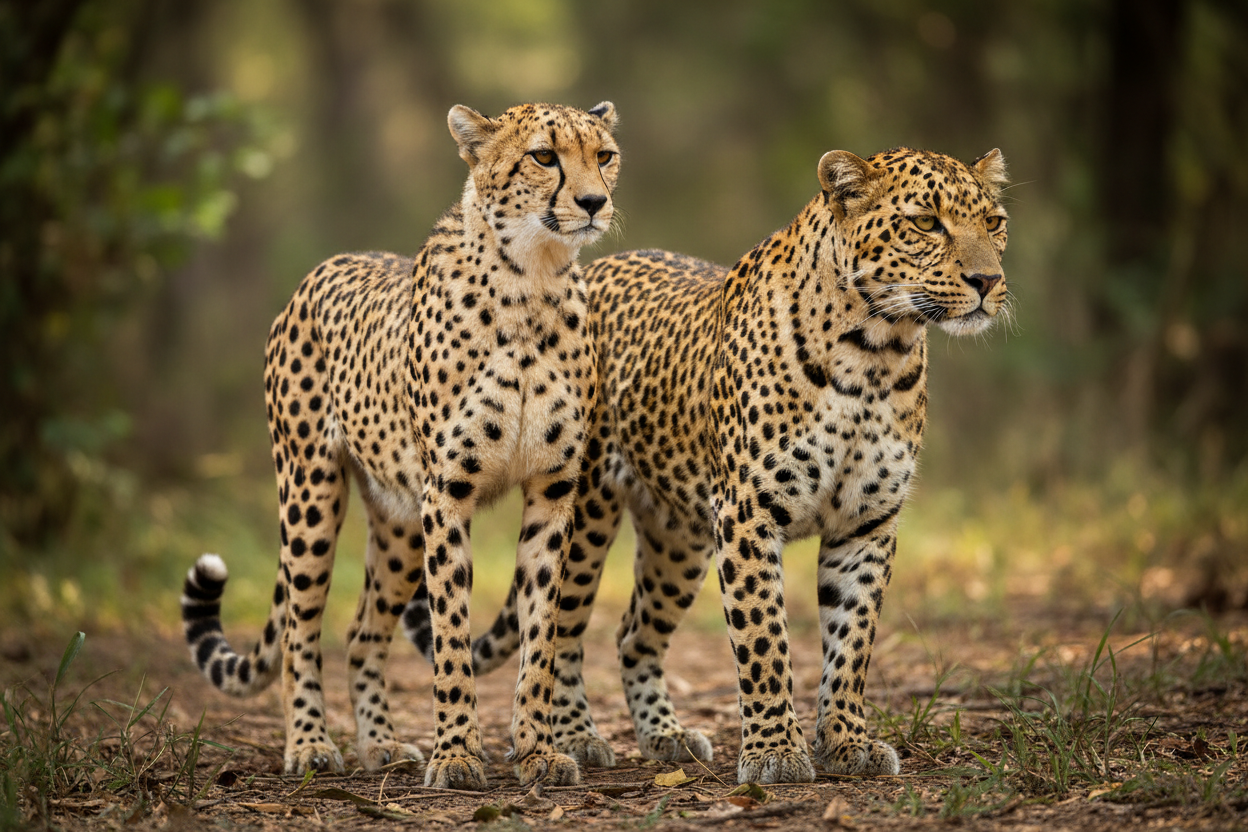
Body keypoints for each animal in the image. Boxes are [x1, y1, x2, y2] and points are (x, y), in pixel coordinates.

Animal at [179, 101, 621, 790]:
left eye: (604, 155)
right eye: (544, 156)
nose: (595, 201)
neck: (533, 282)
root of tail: (325, 265)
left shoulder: (551, 488)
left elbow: (541, 632)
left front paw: (539, 751)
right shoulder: (450, 490)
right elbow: (452, 634)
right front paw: (458, 754)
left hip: (399, 521)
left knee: (361, 632)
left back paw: (381, 744)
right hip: (310, 494)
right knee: (303, 631)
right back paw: (310, 745)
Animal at [403, 146, 1009, 784]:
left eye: (994, 222)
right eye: (926, 223)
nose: (988, 280)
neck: (875, 354)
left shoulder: (867, 524)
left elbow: (853, 642)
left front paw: (849, 743)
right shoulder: (748, 514)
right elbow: (763, 638)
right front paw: (775, 752)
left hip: (678, 538)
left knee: (633, 634)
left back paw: (666, 736)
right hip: (584, 513)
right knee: (561, 631)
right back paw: (577, 740)